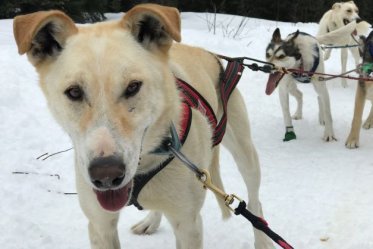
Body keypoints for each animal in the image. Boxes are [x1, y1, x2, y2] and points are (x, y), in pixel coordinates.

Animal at [13, 3, 274, 249]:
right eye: (74, 92)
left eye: (133, 86)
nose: (106, 175)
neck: (142, 167)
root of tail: (205, 52)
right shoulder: (100, 225)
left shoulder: (188, 225)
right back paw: (151, 220)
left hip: (244, 152)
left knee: (255, 201)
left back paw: (263, 240)